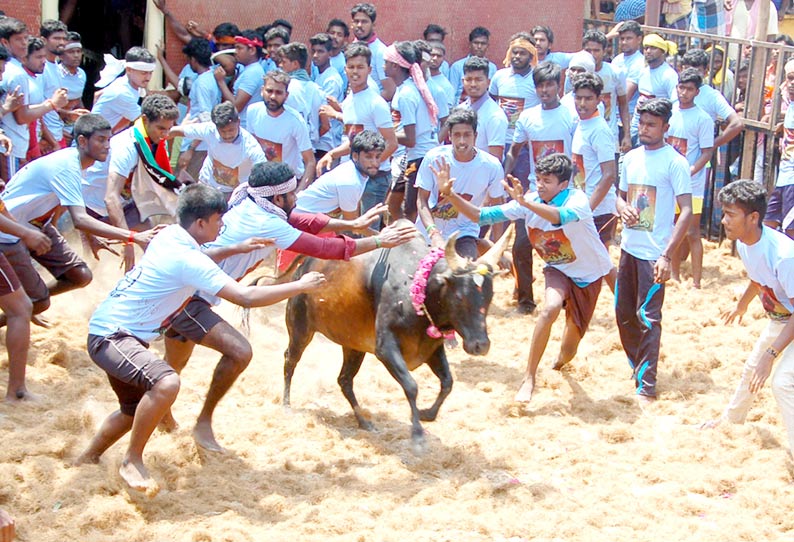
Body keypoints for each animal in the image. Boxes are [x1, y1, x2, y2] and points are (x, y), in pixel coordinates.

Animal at [282, 223, 510, 448]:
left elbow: (447, 382)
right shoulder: (385, 349)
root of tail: (305, 265)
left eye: (489, 295)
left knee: (344, 380)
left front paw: (427, 414)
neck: (419, 288)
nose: (480, 345)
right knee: (290, 361)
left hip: (353, 345)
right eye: (460, 296)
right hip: (300, 330)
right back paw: (286, 403)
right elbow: (411, 386)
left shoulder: (432, 349)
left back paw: (364, 421)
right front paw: (417, 435)